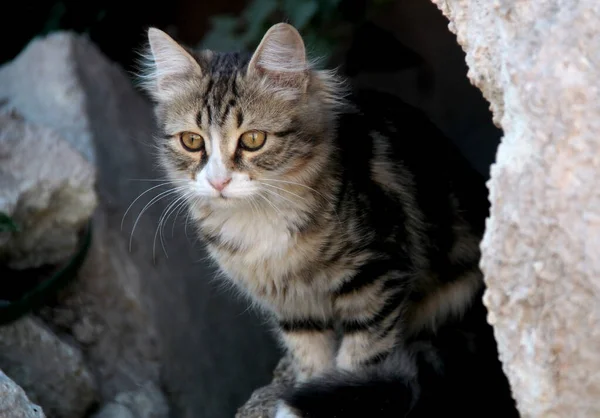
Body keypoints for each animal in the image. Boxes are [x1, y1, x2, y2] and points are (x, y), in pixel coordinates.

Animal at [138, 22, 516, 418]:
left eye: (253, 139)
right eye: (192, 141)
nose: (217, 181)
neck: (260, 223)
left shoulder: (375, 279)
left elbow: (359, 360)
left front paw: (337, 396)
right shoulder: (294, 308)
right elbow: (311, 359)